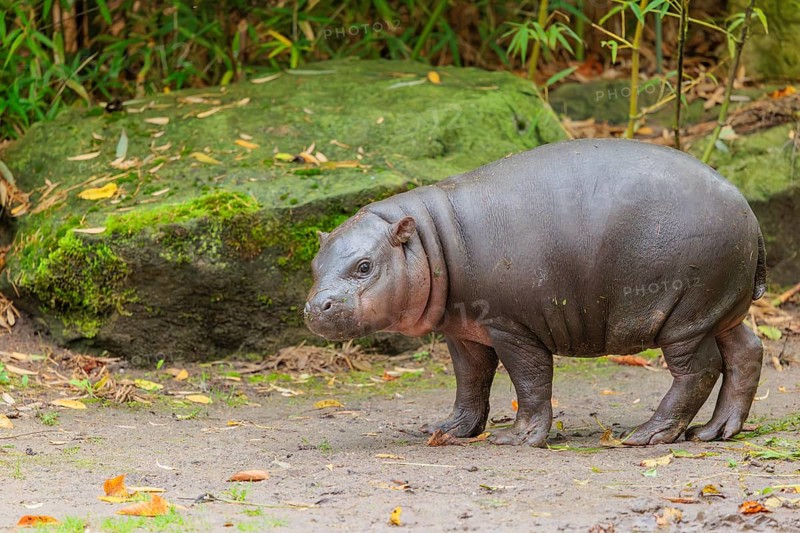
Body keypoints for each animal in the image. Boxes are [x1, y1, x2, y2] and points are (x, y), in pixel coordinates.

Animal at [304, 138, 766, 446]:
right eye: (314, 263)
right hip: (718, 310)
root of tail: (745, 204)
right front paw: (448, 431)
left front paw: (518, 438)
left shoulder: (511, 326)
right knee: (746, 352)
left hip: (685, 316)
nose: (314, 306)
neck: (430, 239)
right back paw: (715, 432)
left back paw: (645, 435)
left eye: (364, 266)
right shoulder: (464, 331)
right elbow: (470, 380)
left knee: (698, 370)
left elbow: (529, 379)